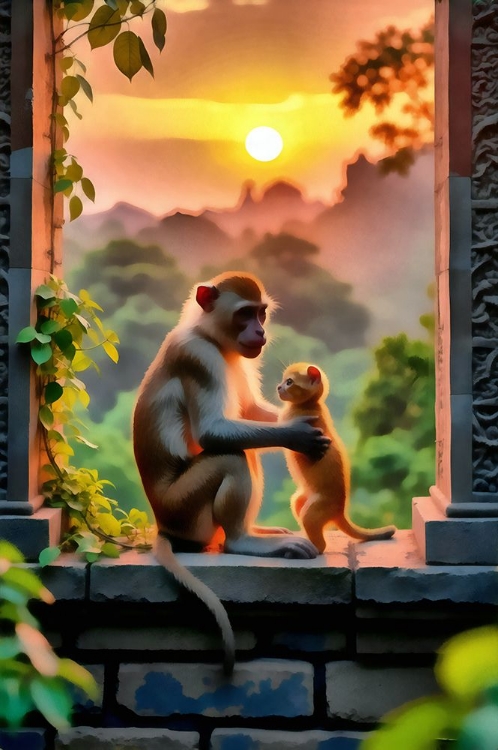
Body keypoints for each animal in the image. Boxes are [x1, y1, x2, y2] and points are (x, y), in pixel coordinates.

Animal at [133, 273, 330, 673]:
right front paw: (299, 434)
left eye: (262, 313)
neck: (207, 334)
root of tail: (164, 525)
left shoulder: (237, 359)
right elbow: (212, 431)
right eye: (244, 314)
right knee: (233, 457)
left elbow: (250, 411)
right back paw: (242, 540)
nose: (260, 331)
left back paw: (259, 531)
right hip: (186, 509)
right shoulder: (199, 358)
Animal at [277, 362, 396, 553]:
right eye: (283, 381)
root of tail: (340, 512)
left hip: (312, 512)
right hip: (299, 501)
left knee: (321, 545)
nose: (278, 387)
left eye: (289, 382)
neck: (309, 405)